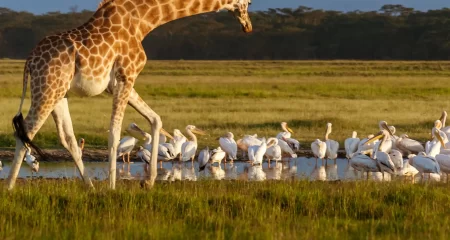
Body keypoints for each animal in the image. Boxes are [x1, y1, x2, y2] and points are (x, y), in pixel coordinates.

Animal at [7, 0, 251, 191]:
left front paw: (148, 182)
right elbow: (115, 132)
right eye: (248, 3)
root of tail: (29, 61)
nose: (248, 26)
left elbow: (155, 119)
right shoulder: (127, 76)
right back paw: (9, 187)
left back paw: (90, 186)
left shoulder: (119, 83)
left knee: (67, 138)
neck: (143, 21)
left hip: (59, 94)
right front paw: (113, 186)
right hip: (47, 89)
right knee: (26, 131)